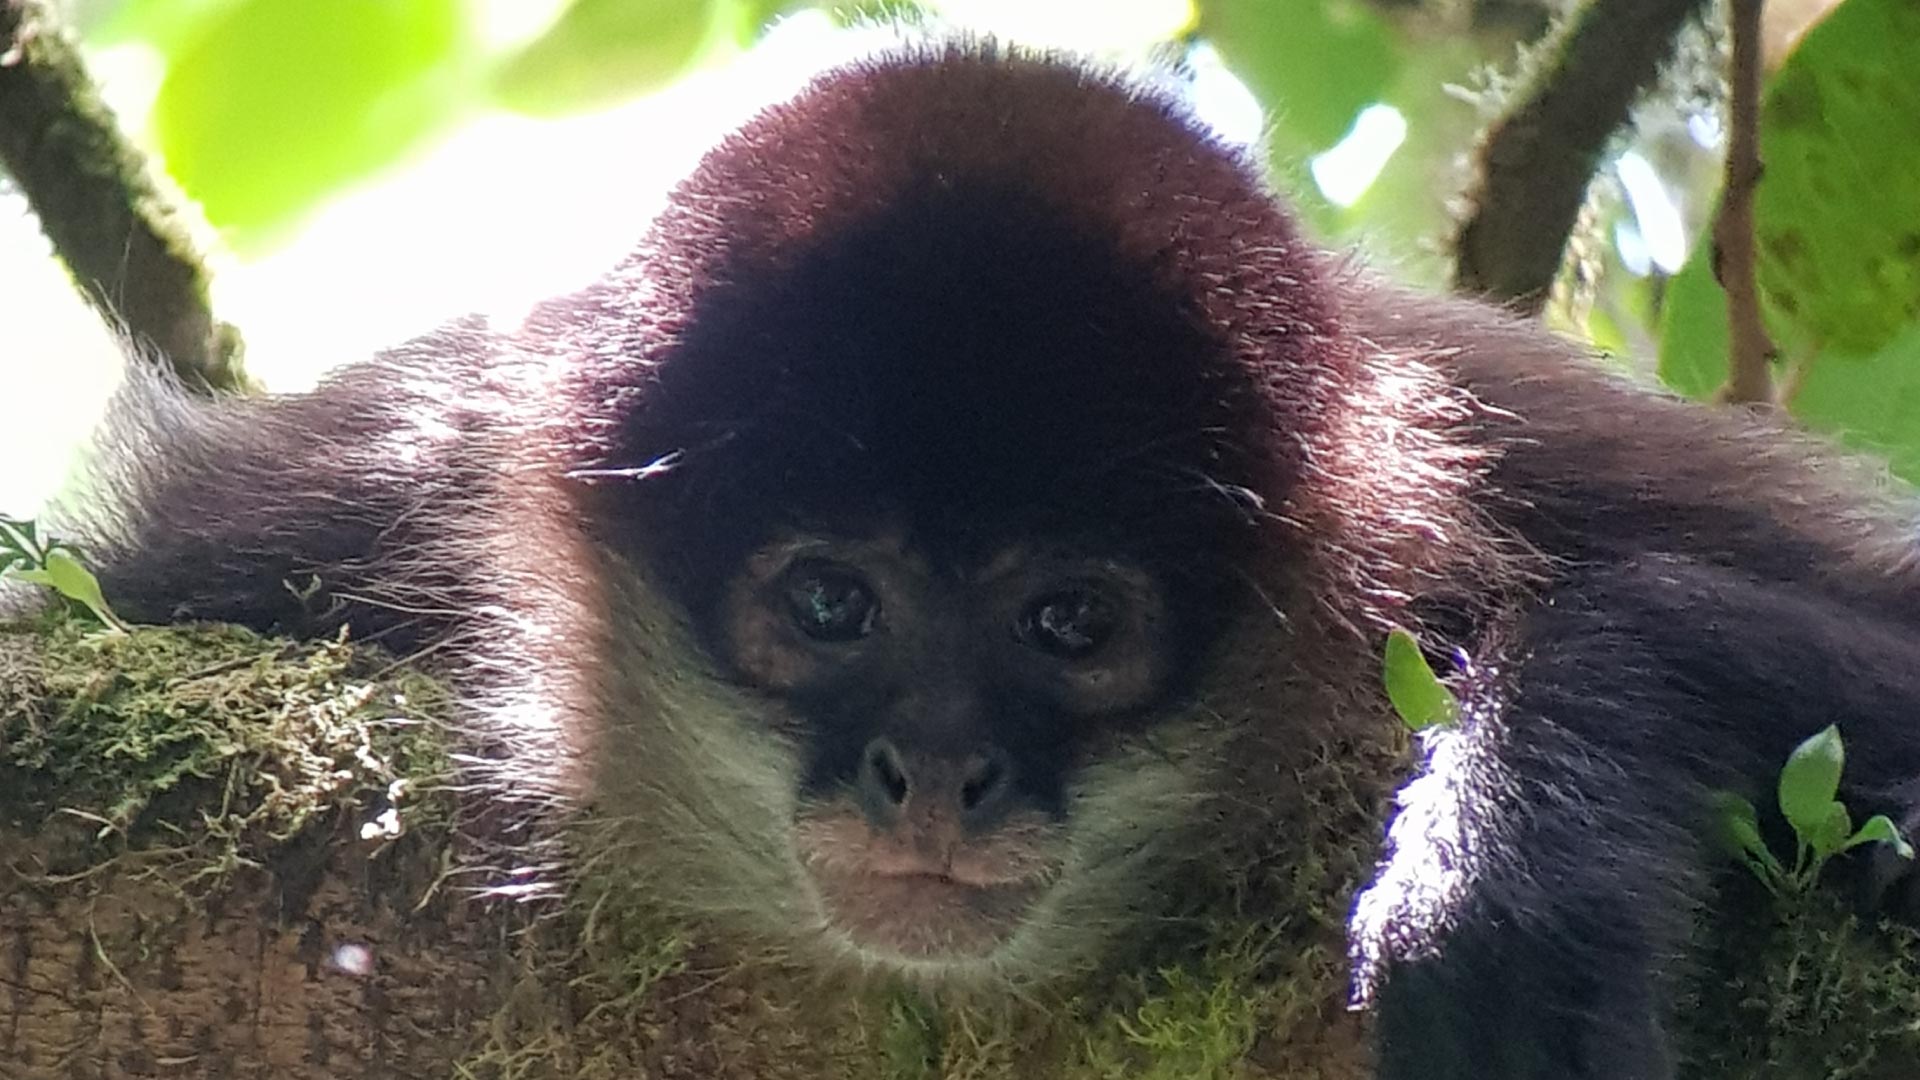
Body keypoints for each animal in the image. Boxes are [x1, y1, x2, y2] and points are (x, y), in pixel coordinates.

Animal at [41, 37, 1920, 1068]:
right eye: (828, 601)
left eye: (1069, 623)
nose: (935, 771)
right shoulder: (405, 456)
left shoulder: (1500, 446)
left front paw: (1516, 844)